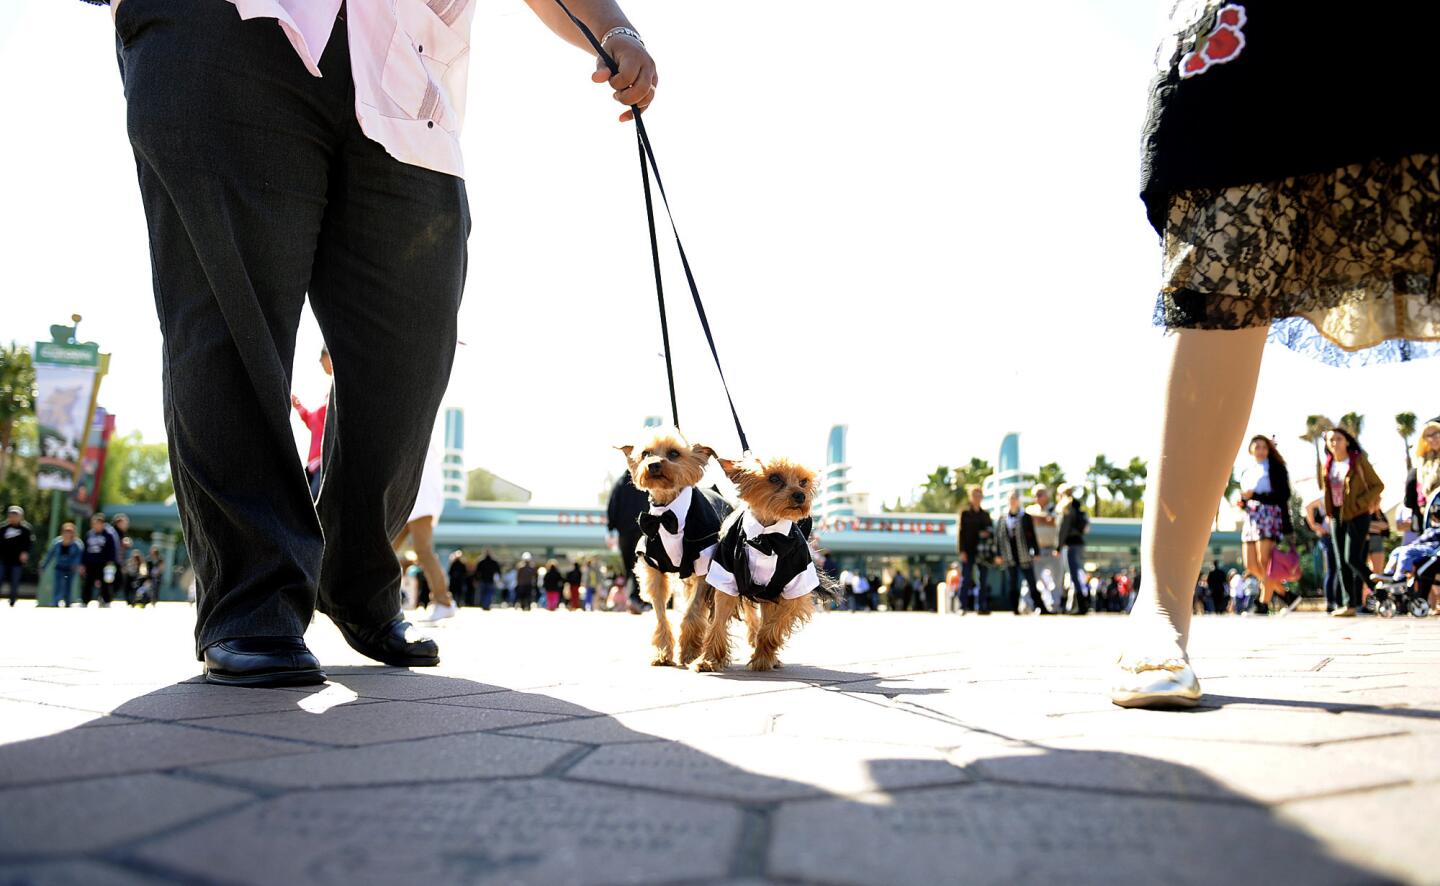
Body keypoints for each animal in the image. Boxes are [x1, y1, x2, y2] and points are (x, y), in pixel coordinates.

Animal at [616, 429, 731, 665]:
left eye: (674, 454)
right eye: (646, 453)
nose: (653, 465)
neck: (667, 513)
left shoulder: (703, 565)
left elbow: (692, 612)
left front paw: (689, 651)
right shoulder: (653, 566)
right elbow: (660, 613)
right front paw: (663, 652)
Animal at [694, 458, 840, 671]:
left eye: (803, 481)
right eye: (774, 478)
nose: (800, 495)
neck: (767, 537)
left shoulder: (795, 586)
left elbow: (773, 625)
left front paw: (762, 657)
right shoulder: (726, 577)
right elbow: (718, 622)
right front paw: (708, 659)